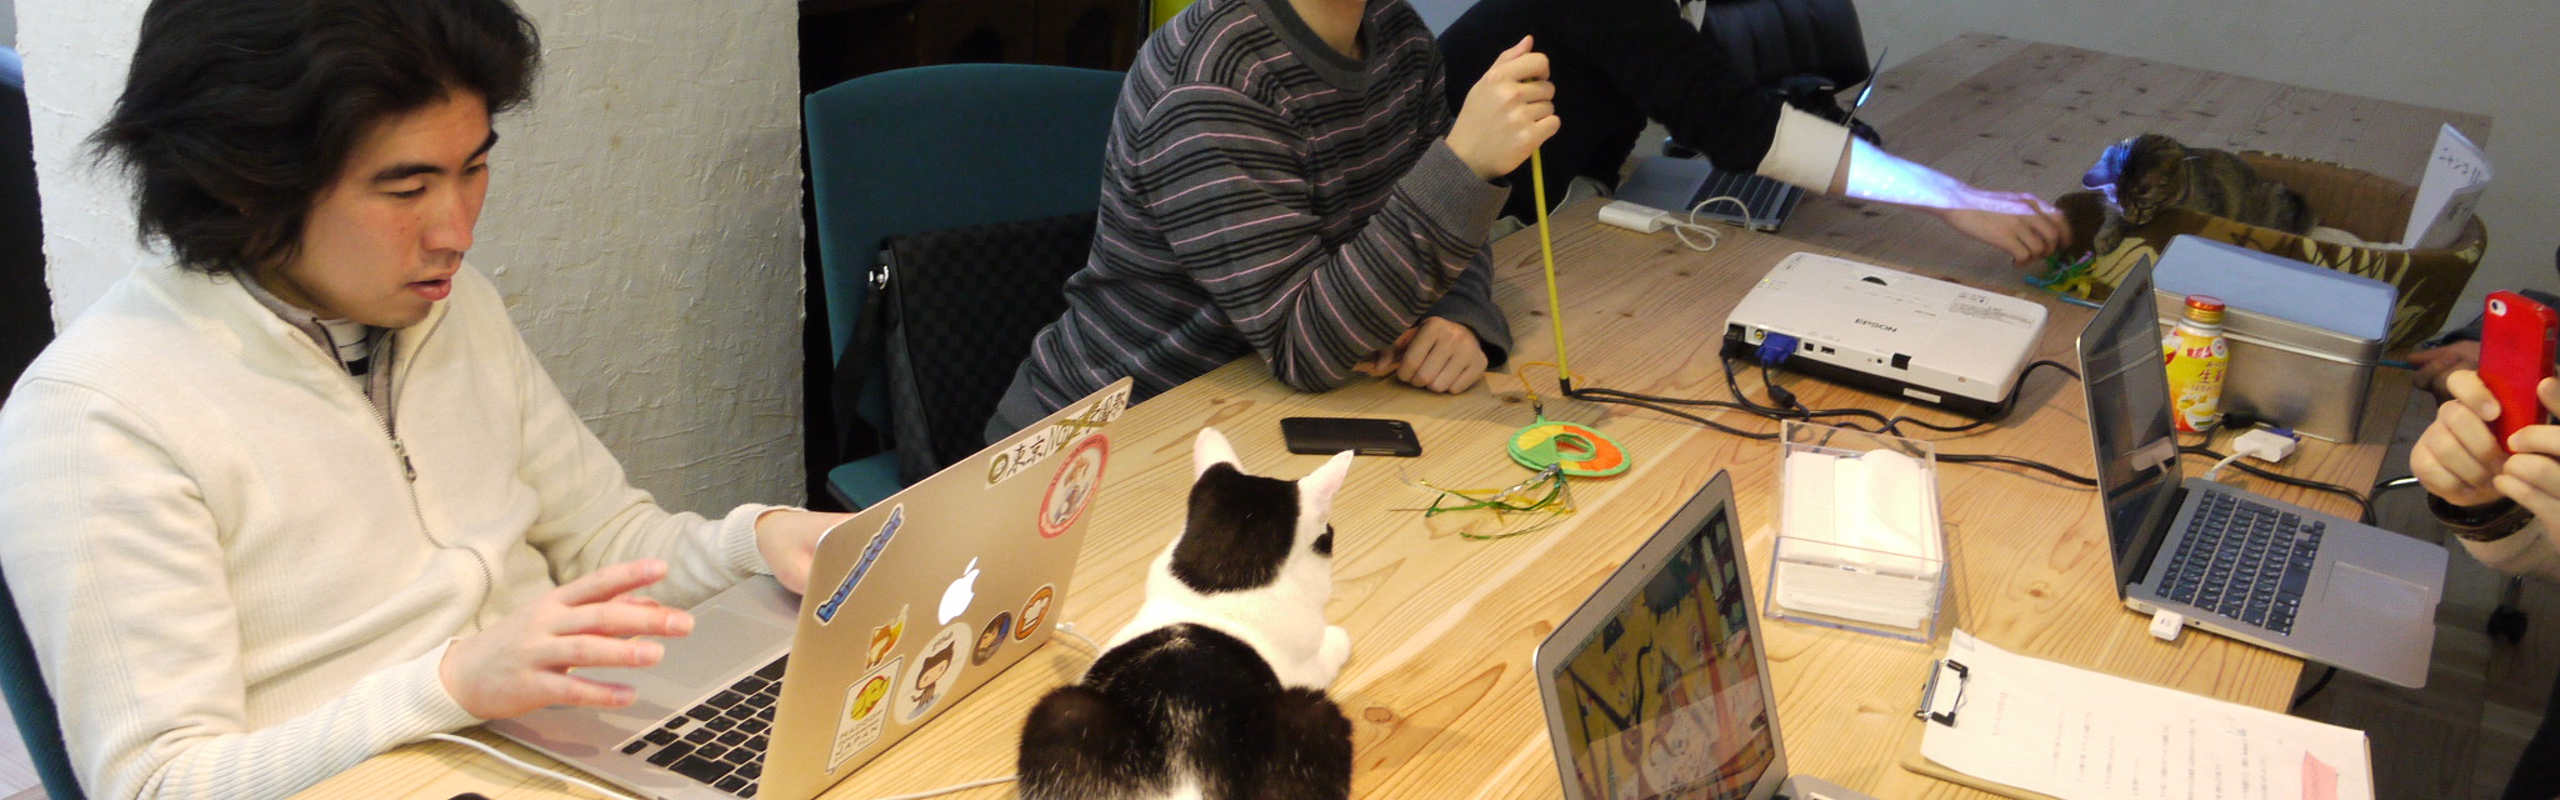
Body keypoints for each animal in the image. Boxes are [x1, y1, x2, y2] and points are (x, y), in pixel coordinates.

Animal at [1017, 427, 1357, 800]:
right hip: (1311, 711)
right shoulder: (1309, 666)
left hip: (1064, 713)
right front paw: (1339, 636)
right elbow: (1333, 645)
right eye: (1328, 534)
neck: (1217, 586)